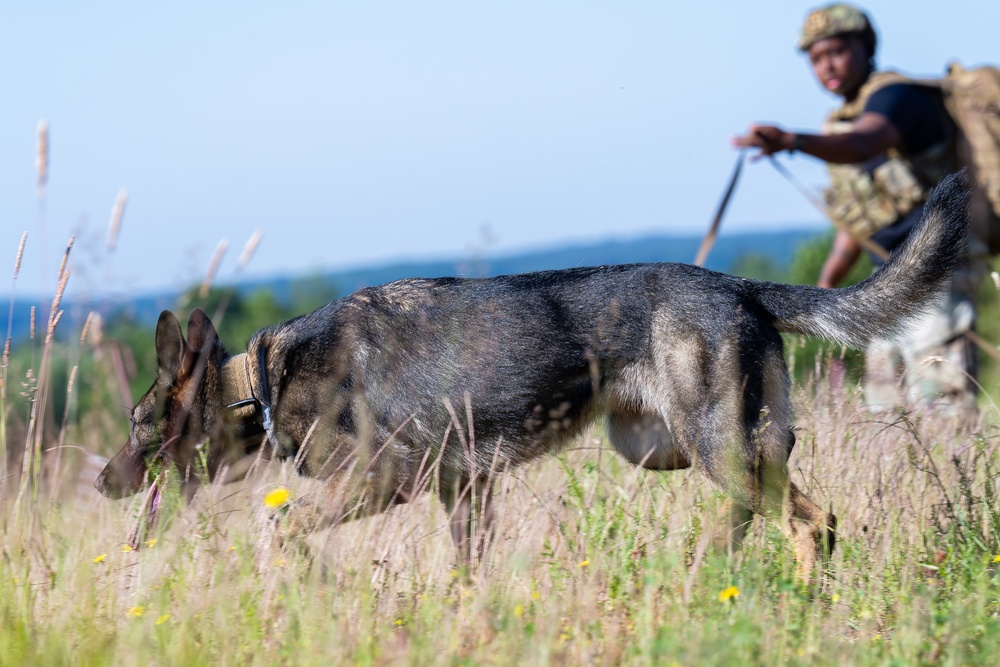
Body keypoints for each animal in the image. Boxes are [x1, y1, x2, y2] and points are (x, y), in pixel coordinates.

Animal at [95, 176, 968, 580]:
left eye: (137, 428)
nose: (100, 480)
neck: (262, 378)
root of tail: (738, 285)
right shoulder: (464, 490)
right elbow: (462, 569)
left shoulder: (383, 481)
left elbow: (279, 524)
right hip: (672, 449)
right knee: (789, 513)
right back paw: (732, 575)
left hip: (713, 441)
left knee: (794, 518)